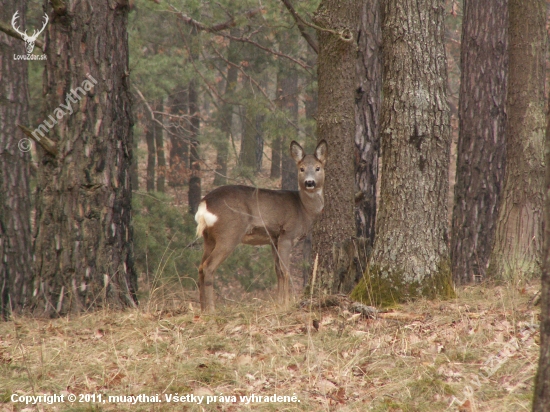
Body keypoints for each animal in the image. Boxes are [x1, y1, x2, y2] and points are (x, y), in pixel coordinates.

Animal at [196, 140, 328, 310]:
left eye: (318, 168)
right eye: (302, 168)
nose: (310, 182)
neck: (303, 209)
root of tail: (204, 204)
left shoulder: (273, 240)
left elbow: (278, 271)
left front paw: (279, 302)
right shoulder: (287, 235)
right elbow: (286, 271)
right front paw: (286, 304)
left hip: (208, 238)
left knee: (200, 267)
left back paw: (202, 308)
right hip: (229, 233)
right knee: (208, 266)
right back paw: (211, 309)